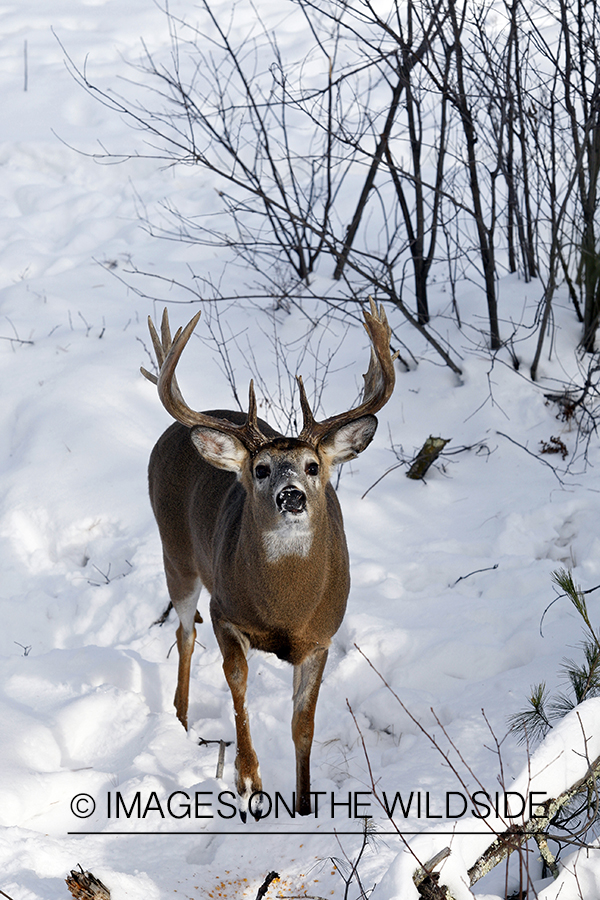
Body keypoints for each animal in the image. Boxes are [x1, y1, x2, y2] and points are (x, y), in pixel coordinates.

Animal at [138, 300, 396, 816]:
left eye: (313, 466)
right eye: (260, 469)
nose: (291, 495)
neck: (284, 610)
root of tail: (176, 428)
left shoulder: (321, 637)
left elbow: (304, 725)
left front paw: (305, 804)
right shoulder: (225, 612)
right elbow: (237, 684)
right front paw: (248, 780)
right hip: (176, 551)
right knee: (184, 632)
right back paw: (180, 722)